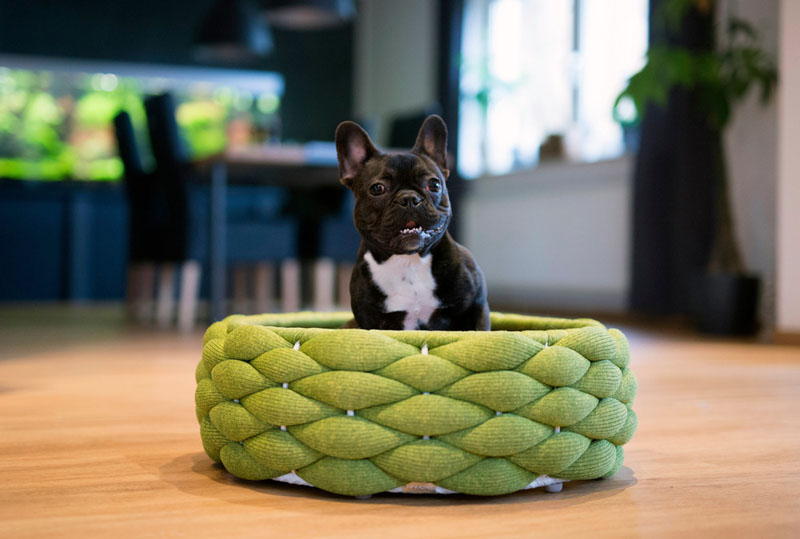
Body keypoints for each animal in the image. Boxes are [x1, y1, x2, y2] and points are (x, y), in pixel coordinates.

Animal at [334, 116, 490, 332]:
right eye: (377, 188)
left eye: (434, 184)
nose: (409, 198)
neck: (409, 261)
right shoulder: (369, 322)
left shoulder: (477, 307)